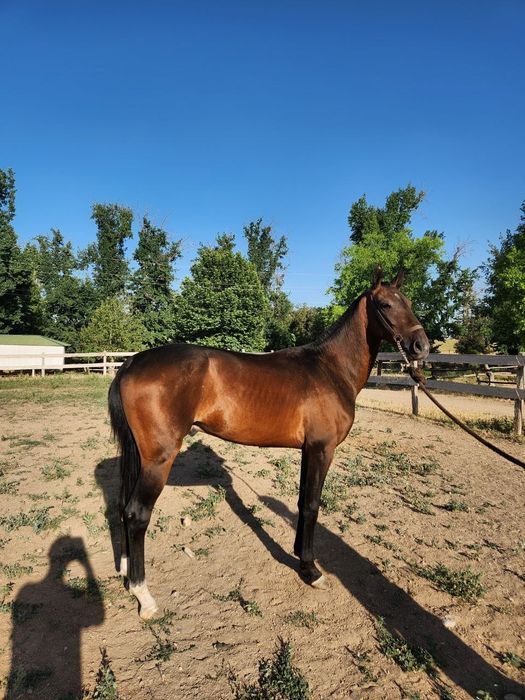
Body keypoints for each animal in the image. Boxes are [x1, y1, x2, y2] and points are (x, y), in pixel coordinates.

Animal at [108, 267, 430, 619]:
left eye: (408, 301)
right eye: (385, 304)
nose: (421, 346)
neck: (330, 369)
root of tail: (131, 363)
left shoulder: (308, 451)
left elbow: (303, 502)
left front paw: (301, 558)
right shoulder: (322, 449)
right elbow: (313, 504)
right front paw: (312, 571)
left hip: (140, 458)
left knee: (123, 507)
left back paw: (126, 572)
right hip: (158, 460)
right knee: (137, 514)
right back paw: (144, 596)